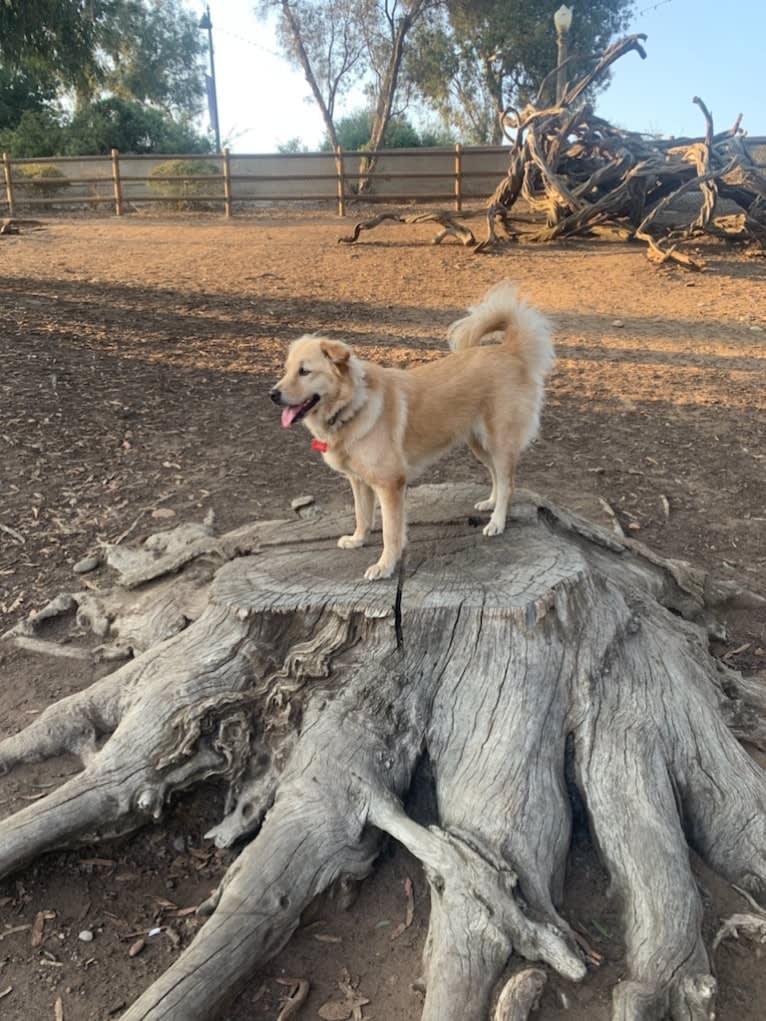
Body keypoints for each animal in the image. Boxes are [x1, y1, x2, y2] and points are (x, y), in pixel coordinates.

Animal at [273, 283, 555, 579]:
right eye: (287, 370)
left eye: (305, 371)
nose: (273, 394)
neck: (352, 406)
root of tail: (510, 350)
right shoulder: (359, 481)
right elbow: (362, 516)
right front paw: (357, 540)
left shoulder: (390, 484)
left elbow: (391, 532)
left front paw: (385, 566)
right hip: (479, 444)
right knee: (497, 477)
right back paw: (490, 503)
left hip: (500, 442)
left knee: (508, 483)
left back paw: (497, 522)